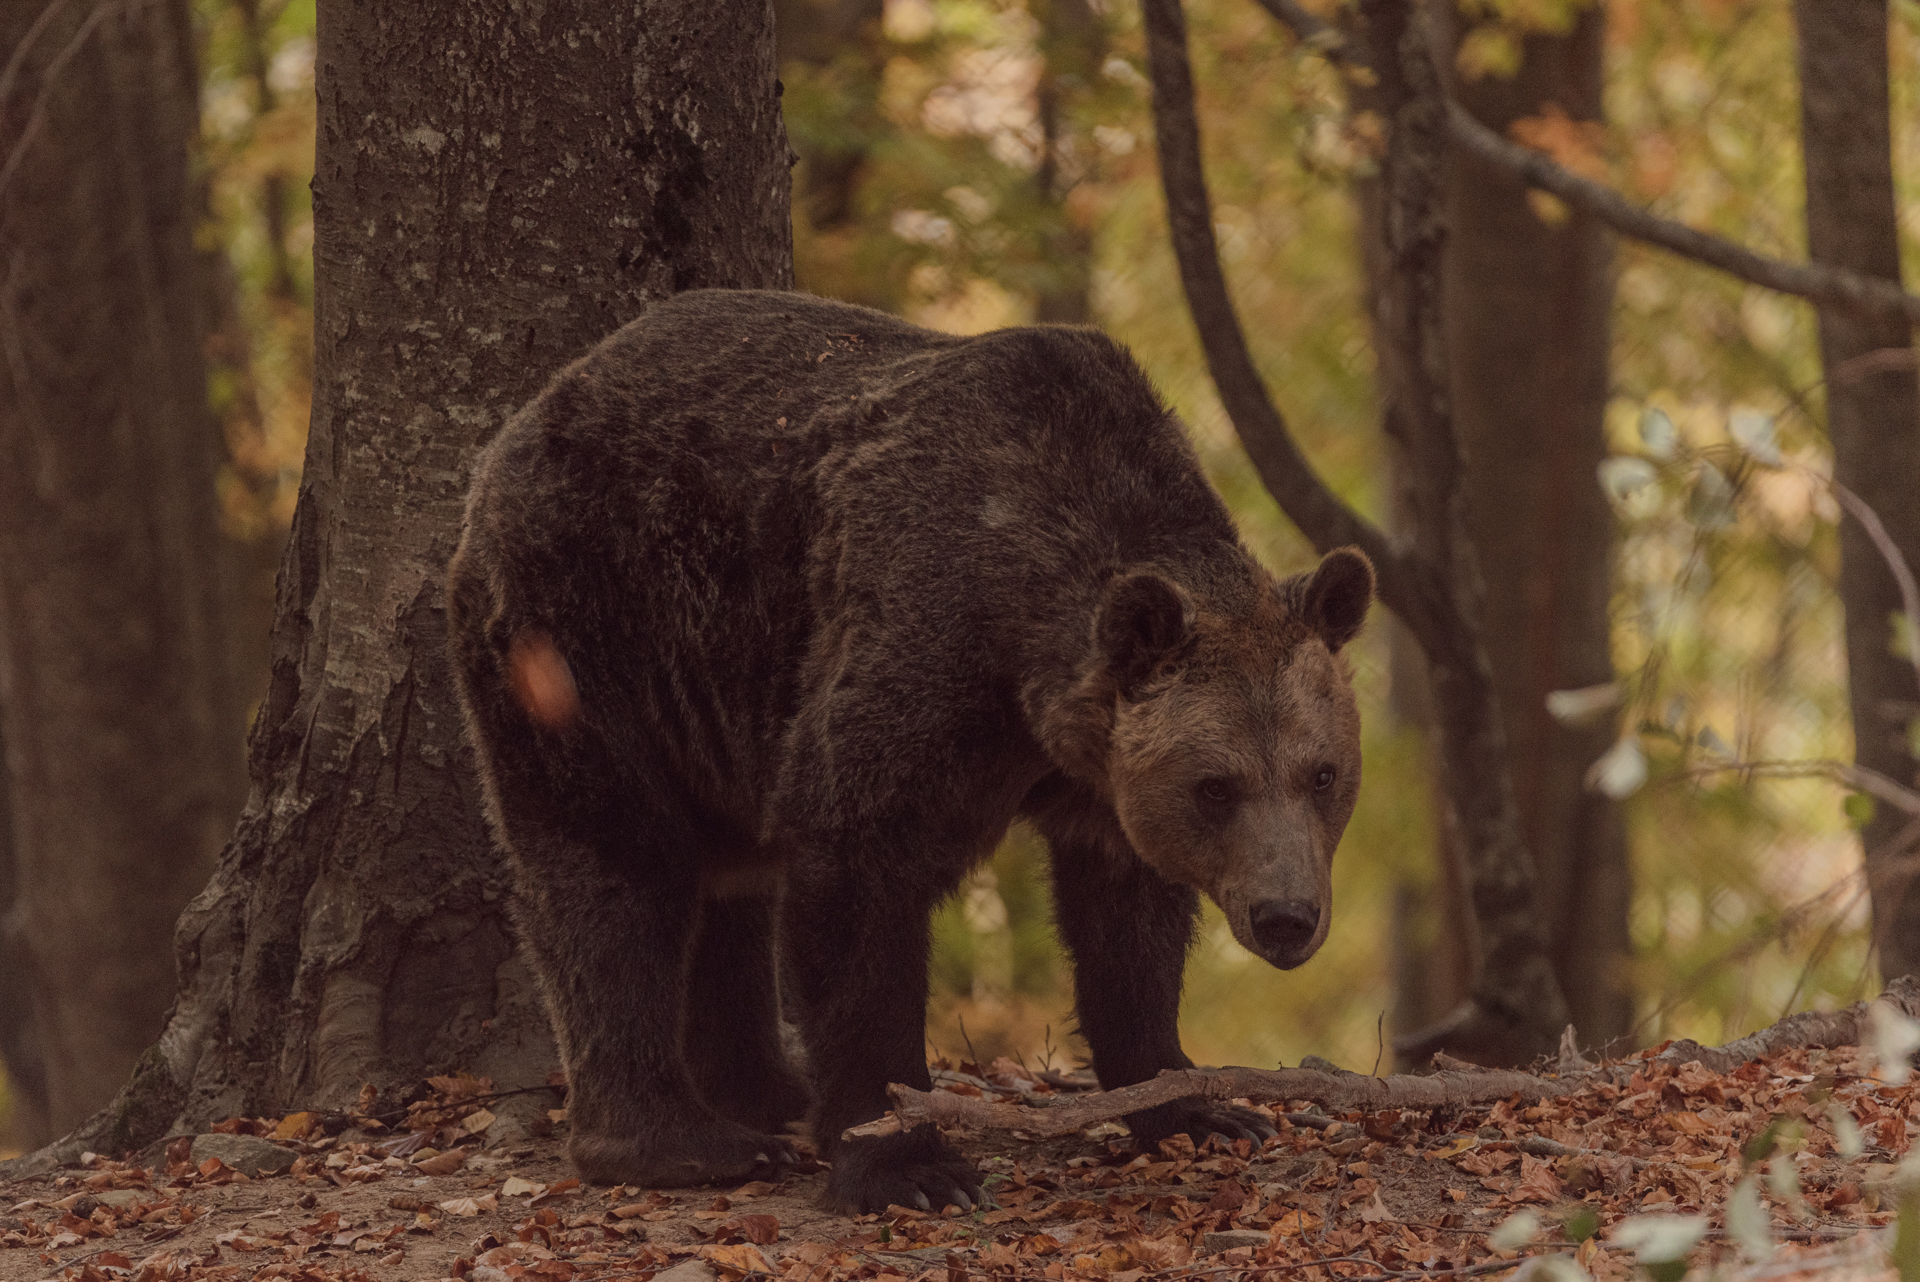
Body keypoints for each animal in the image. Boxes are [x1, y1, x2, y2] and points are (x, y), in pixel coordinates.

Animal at [441, 287, 1374, 1212]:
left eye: (1322, 774)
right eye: (1217, 786)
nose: (1286, 915)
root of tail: (529, 415)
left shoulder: (1102, 776)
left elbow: (1127, 927)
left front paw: (1198, 1108)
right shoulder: (922, 652)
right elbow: (858, 882)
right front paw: (905, 1161)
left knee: (731, 886)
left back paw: (768, 1093)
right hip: (592, 628)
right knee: (613, 866)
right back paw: (682, 1140)